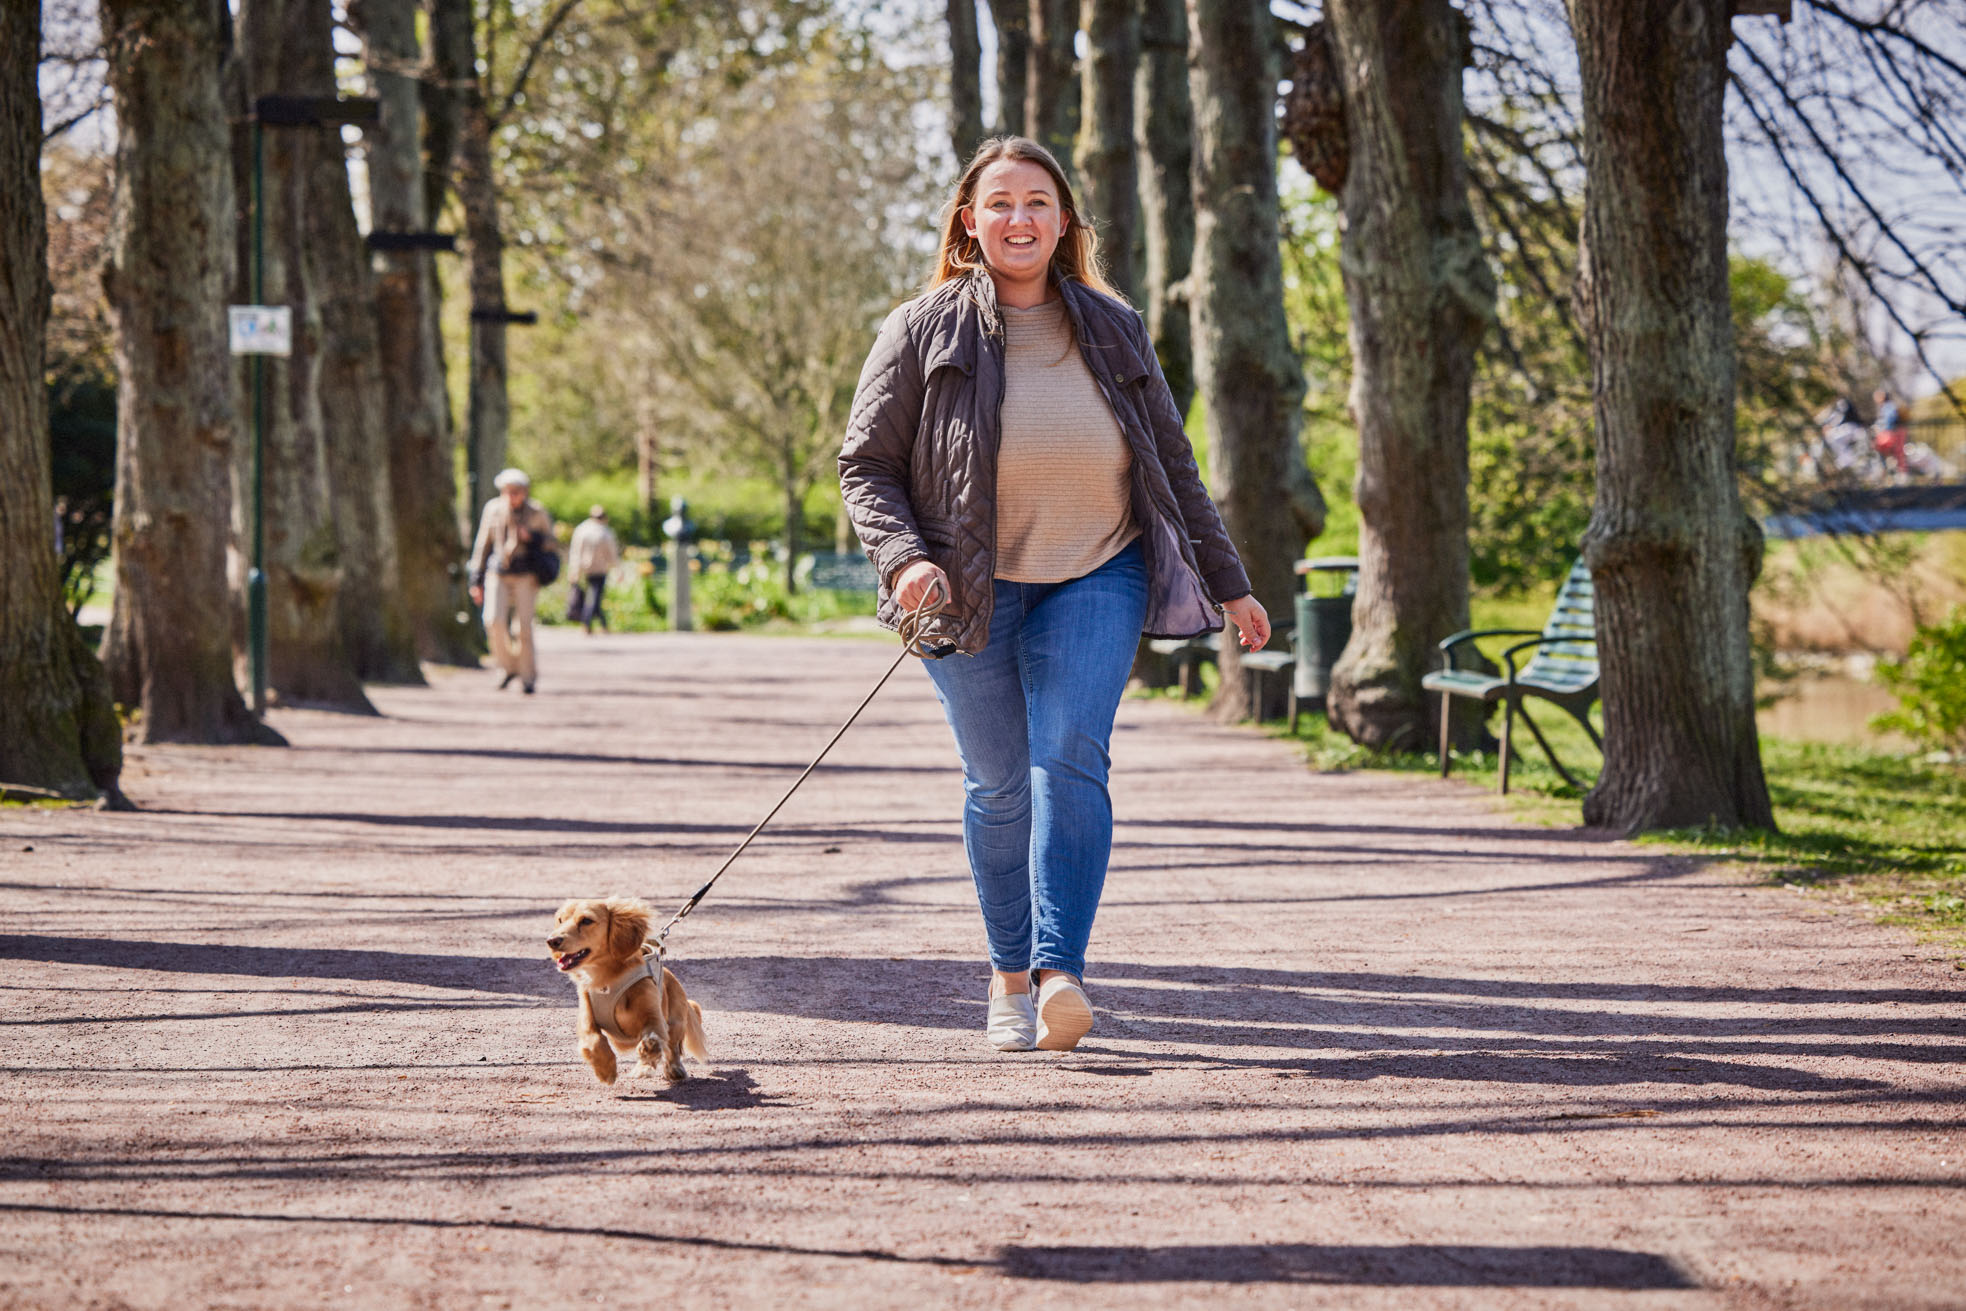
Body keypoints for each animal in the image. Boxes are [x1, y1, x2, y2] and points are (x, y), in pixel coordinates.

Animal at [546, 896, 707, 1084]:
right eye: (560, 920)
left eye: (586, 920)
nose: (552, 941)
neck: (607, 980)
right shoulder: (586, 1016)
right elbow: (594, 1039)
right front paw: (605, 1069)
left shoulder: (654, 1018)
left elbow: (653, 1042)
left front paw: (643, 1063)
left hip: (676, 1020)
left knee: (673, 1047)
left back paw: (674, 1069)